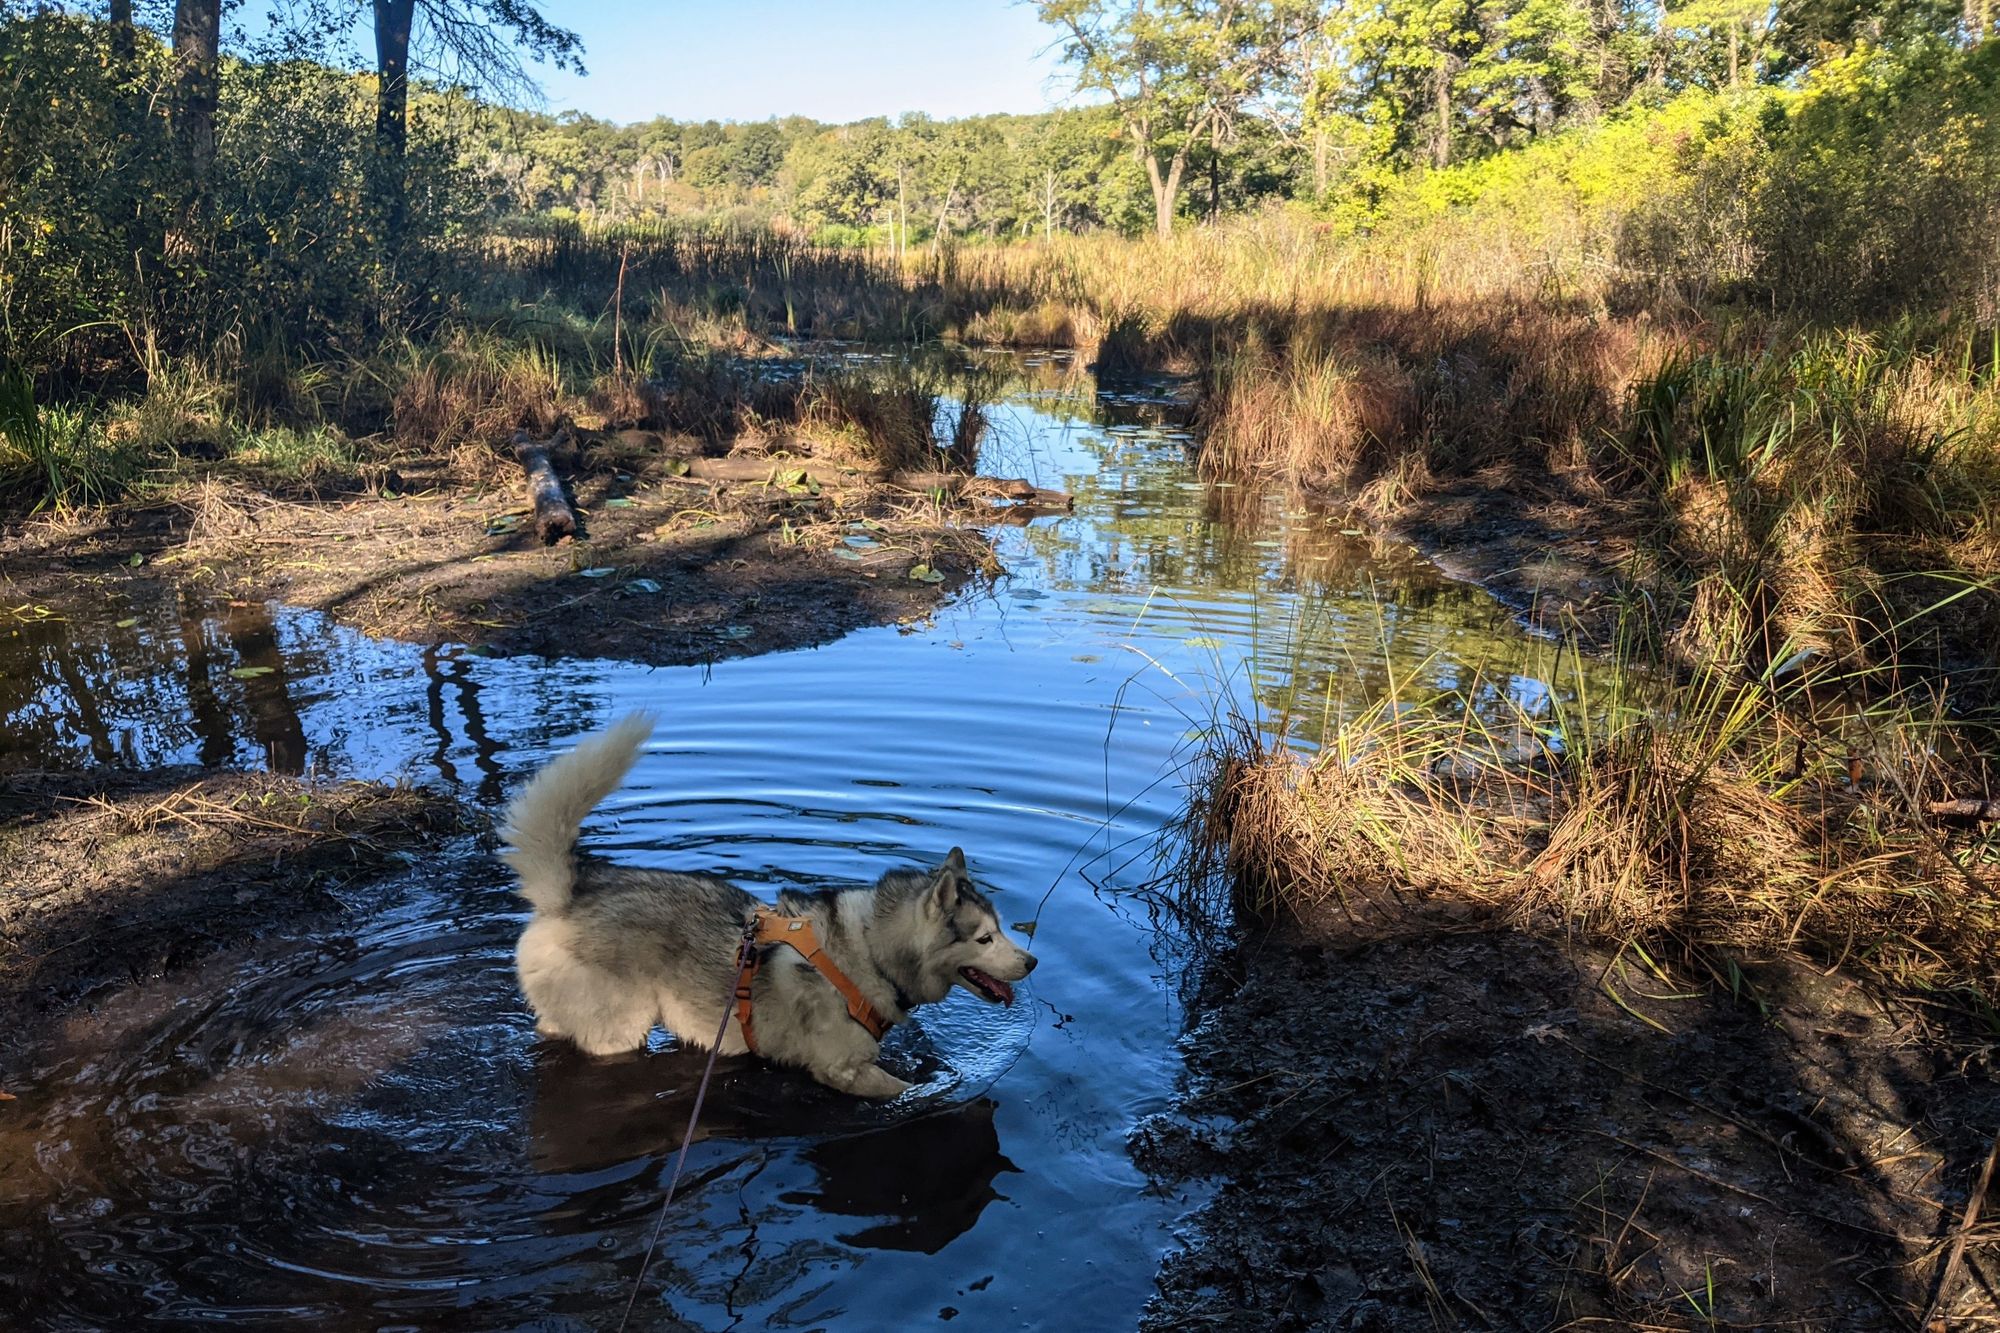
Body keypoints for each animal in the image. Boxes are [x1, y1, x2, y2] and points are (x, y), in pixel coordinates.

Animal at [500, 712, 1040, 1096]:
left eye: (1002, 928)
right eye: (985, 938)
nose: (1032, 962)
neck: (868, 953)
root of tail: (569, 890)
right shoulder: (842, 1070)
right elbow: (902, 1091)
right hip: (617, 1033)